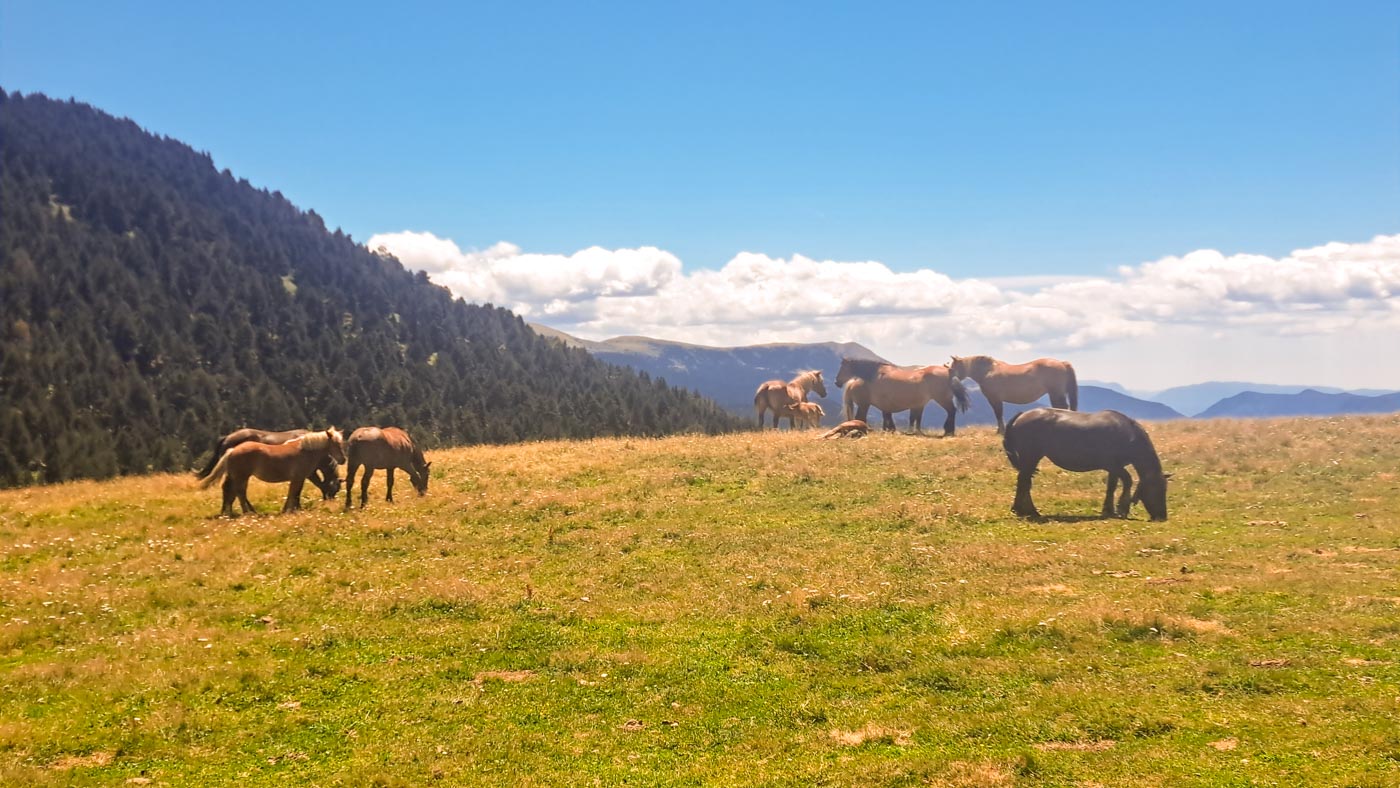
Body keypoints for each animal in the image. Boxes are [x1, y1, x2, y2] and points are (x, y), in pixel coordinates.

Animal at [198, 428, 346, 517]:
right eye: (336, 444)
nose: (343, 460)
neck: (304, 450)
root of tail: (232, 449)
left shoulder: (299, 478)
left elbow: (294, 493)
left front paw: (290, 509)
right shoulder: (301, 477)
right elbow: (294, 493)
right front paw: (290, 510)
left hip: (239, 476)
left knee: (234, 491)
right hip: (241, 476)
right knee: (239, 492)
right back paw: (247, 512)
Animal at [835, 358, 971, 436]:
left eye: (843, 368)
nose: (837, 382)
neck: (874, 376)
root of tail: (949, 371)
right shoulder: (886, 406)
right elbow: (889, 419)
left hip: (942, 399)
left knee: (951, 411)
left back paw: (949, 431)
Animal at [949, 355, 1079, 434]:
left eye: (951, 368)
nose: (950, 382)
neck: (988, 371)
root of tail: (1062, 363)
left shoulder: (994, 399)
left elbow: (998, 413)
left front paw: (1000, 431)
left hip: (1056, 393)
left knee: (1062, 407)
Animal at [1003, 408, 1169, 521]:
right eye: (1158, 490)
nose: (1162, 516)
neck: (1129, 435)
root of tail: (1021, 415)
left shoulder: (1114, 468)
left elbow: (1111, 487)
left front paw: (1108, 510)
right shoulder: (1113, 465)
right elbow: (1127, 481)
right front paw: (1122, 508)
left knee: (1025, 481)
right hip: (1031, 457)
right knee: (1024, 482)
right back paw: (1027, 511)